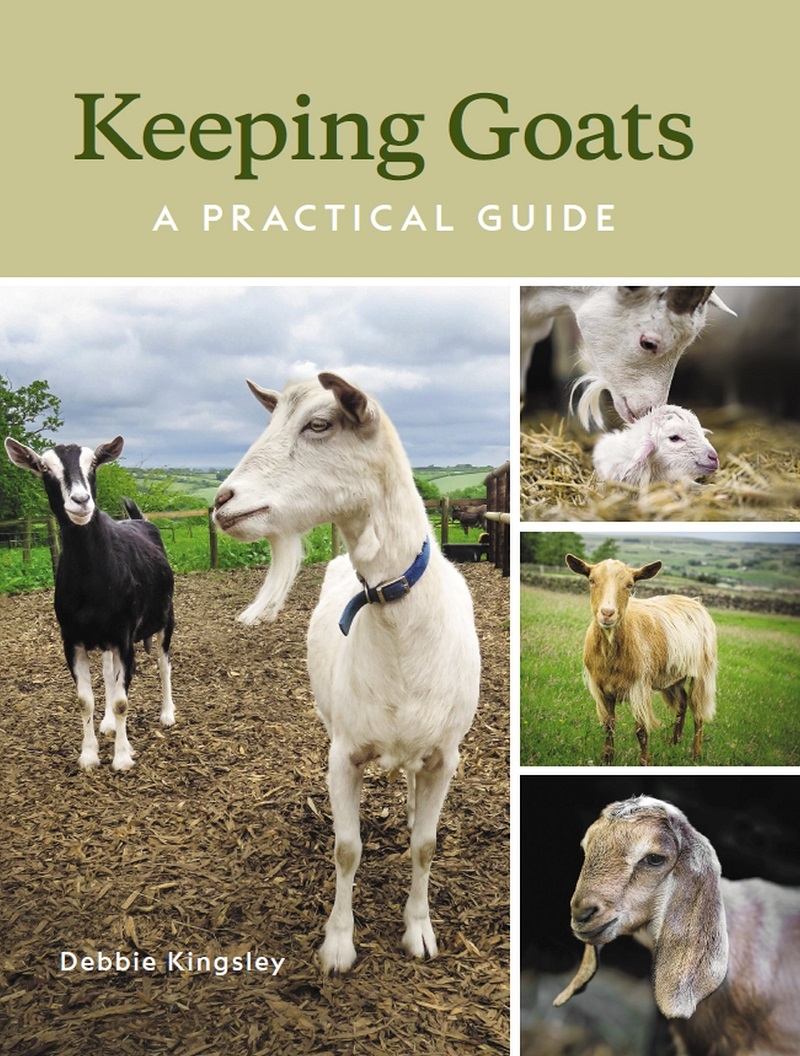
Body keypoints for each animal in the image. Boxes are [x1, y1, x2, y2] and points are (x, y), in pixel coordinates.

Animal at [5, 436, 175, 771]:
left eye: (94, 463)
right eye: (44, 467)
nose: (81, 500)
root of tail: (139, 520)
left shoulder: (123, 637)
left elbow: (123, 700)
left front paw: (122, 758)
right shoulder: (72, 640)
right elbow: (85, 699)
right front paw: (89, 756)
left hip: (167, 617)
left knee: (164, 665)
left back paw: (167, 715)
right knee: (109, 675)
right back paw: (108, 724)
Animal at [212, 372, 481, 973]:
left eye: (319, 423)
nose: (221, 502)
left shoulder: (446, 754)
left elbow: (426, 845)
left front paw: (419, 930)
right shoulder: (344, 752)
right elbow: (347, 847)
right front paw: (337, 944)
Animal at [565, 555, 716, 765]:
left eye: (630, 585)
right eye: (591, 580)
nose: (607, 613)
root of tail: (695, 602)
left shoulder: (639, 687)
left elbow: (641, 731)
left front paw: (644, 762)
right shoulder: (602, 689)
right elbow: (609, 725)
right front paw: (607, 758)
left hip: (702, 671)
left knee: (698, 710)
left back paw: (696, 754)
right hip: (672, 676)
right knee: (682, 703)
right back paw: (674, 743)